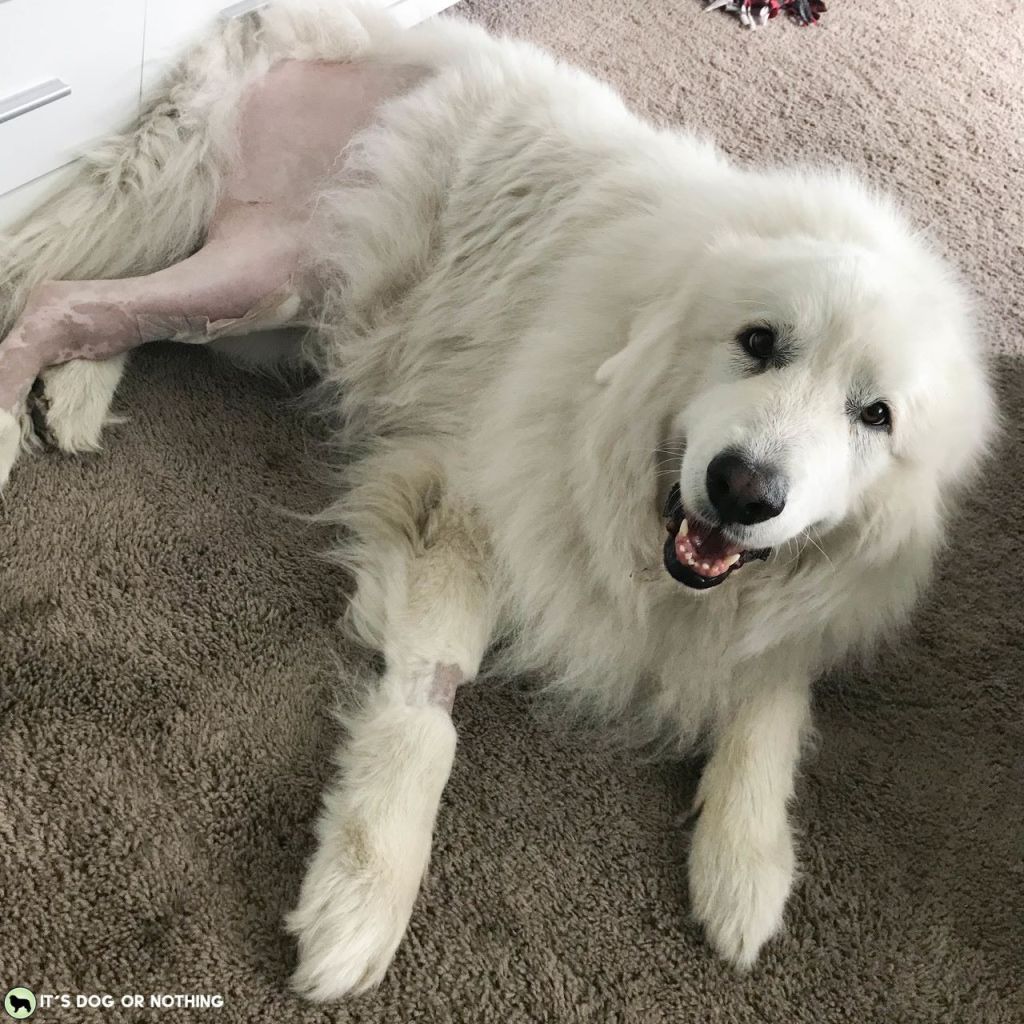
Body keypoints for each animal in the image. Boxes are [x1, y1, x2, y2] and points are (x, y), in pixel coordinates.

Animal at [0, 0, 991, 999]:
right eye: (758, 341)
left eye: (874, 415)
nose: (742, 488)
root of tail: (289, 26)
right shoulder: (460, 506)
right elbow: (429, 707)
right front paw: (359, 901)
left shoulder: (796, 600)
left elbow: (774, 698)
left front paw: (745, 869)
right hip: (273, 268)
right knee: (48, 293)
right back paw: (9, 422)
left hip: (268, 295)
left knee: (98, 305)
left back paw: (75, 398)